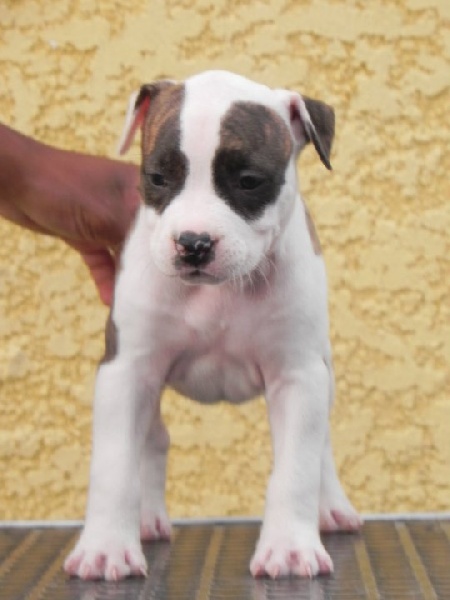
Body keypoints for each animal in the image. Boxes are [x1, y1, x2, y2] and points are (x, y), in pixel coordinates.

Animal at [64, 70, 361, 581]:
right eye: (158, 178)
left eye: (248, 181)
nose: (194, 243)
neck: (217, 293)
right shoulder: (126, 372)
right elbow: (114, 466)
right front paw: (105, 548)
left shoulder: (298, 376)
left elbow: (297, 468)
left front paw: (289, 547)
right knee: (152, 442)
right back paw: (146, 519)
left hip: (323, 373)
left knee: (319, 445)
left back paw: (332, 509)